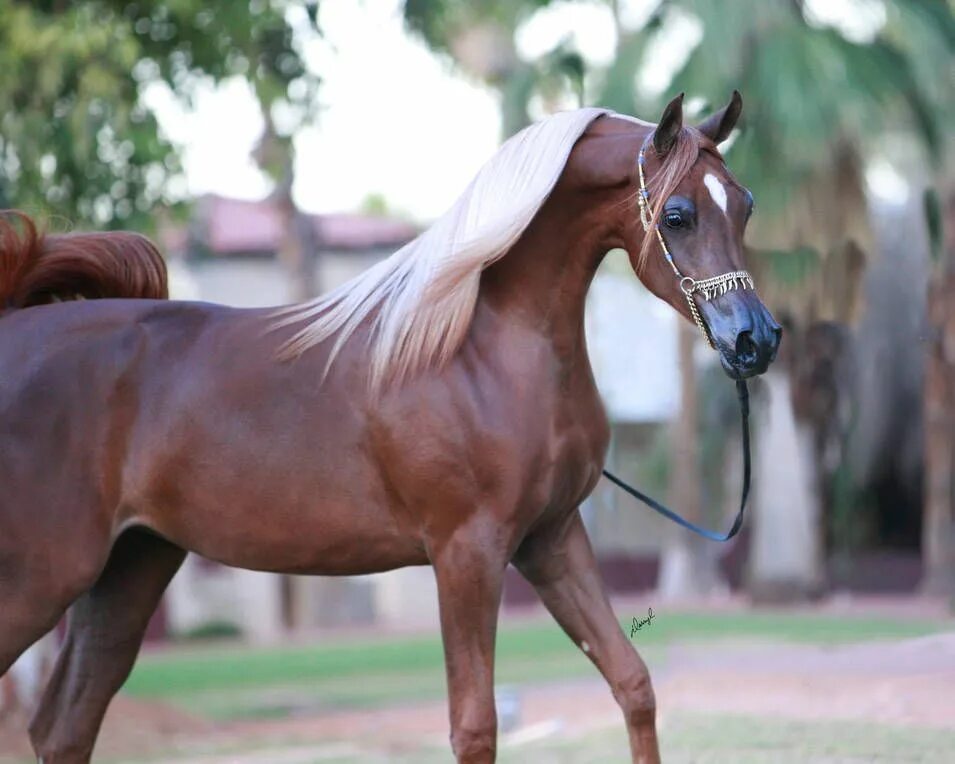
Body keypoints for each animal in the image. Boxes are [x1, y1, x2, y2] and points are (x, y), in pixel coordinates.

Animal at [0, 95, 780, 764]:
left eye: (745, 205)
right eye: (676, 214)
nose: (756, 340)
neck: (479, 348)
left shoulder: (551, 539)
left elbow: (632, 682)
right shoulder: (467, 554)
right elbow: (475, 726)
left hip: (129, 571)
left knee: (64, 726)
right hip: (43, 581)